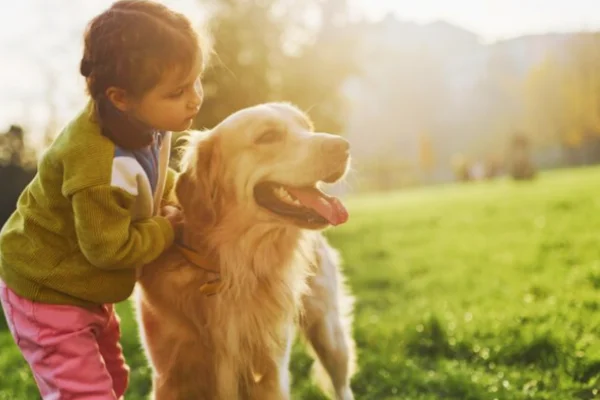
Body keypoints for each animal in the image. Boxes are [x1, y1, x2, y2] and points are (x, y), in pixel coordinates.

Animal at [136, 103, 356, 400]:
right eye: (267, 136)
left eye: (307, 128)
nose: (343, 146)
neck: (232, 264)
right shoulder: (170, 377)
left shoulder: (269, 371)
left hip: (329, 331)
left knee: (341, 383)